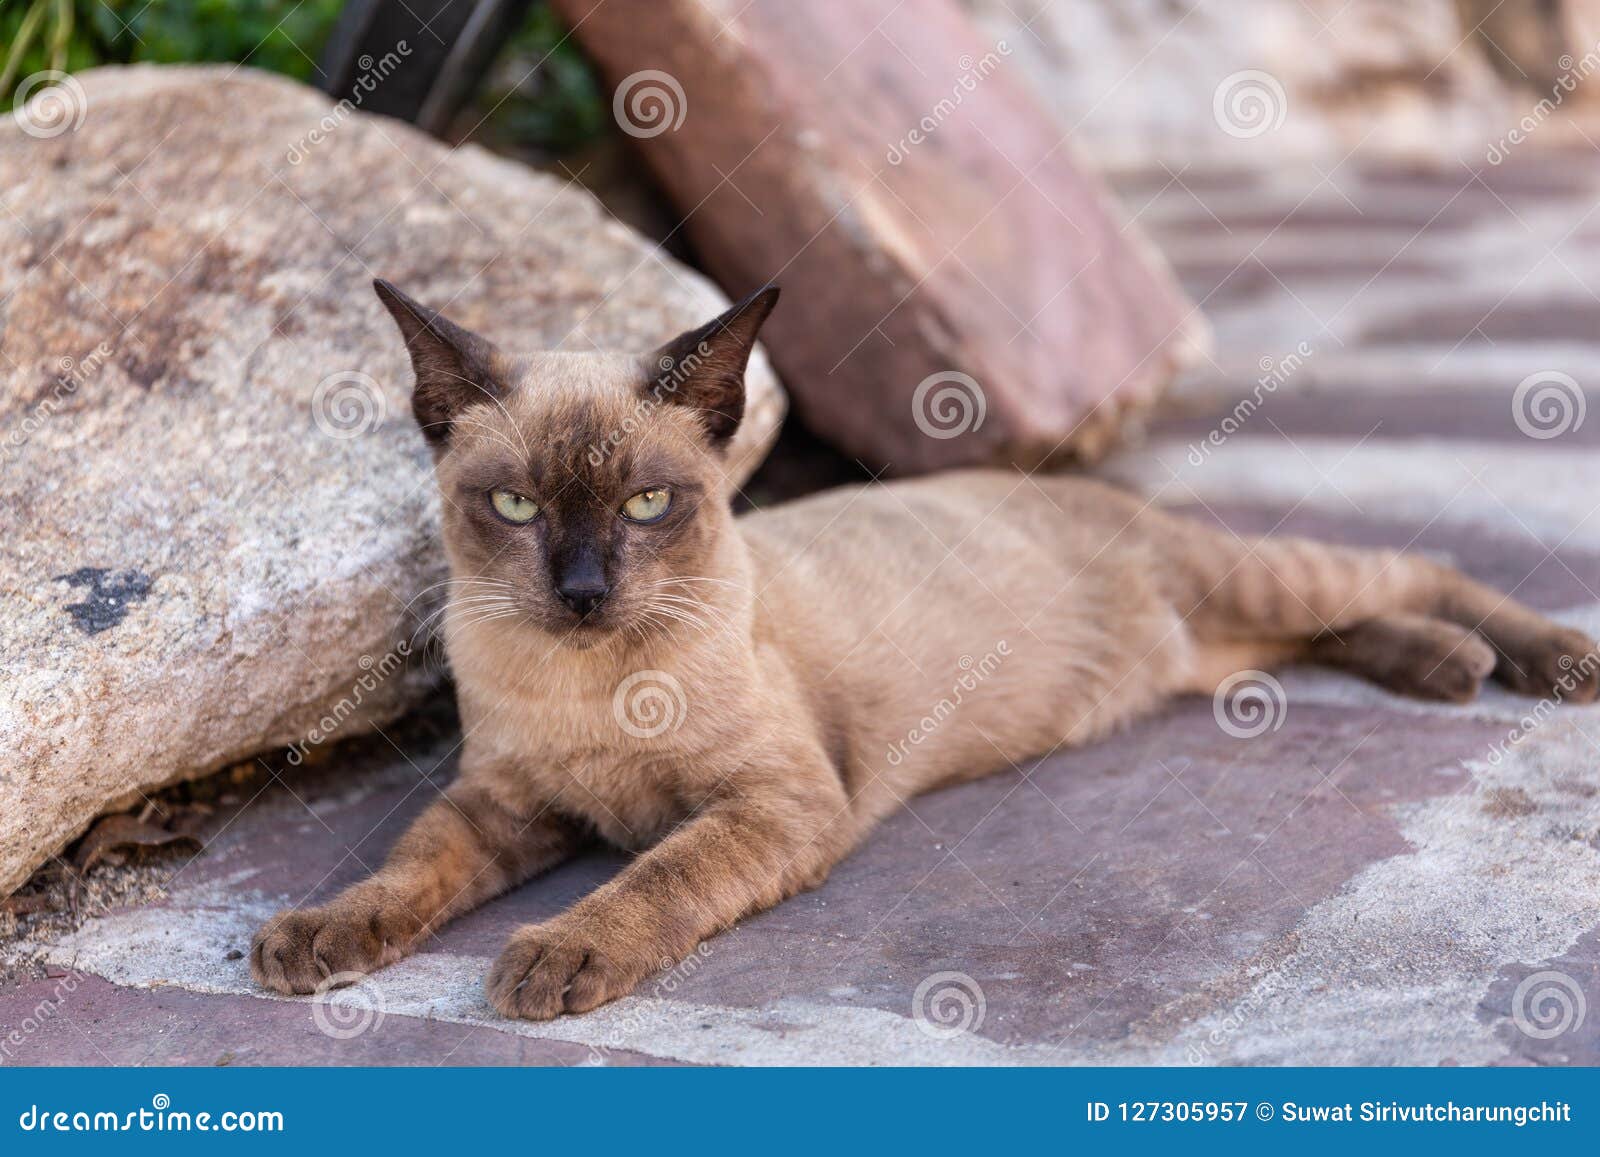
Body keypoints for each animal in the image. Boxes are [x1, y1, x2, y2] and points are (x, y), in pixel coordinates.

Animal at [249, 280, 1600, 1024]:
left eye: (645, 504)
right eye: (517, 507)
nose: (581, 592)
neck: (588, 682)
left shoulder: (776, 802)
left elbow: (649, 878)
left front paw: (554, 956)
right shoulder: (503, 805)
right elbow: (405, 869)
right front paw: (313, 938)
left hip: (1247, 577)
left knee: (1405, 568)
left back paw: (1538, 663)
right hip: (1217, 649)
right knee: (1320, 627)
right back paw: (1444, 666)